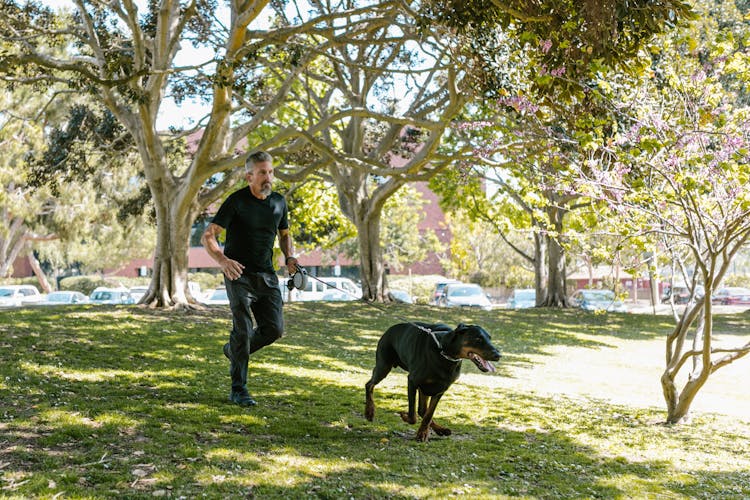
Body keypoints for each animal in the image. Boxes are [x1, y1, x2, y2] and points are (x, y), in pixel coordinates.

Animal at [366, 322, 502, 440]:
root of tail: (390, 329)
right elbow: (412, 415)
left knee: (422, 410)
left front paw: (422, 433)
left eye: (489, 338)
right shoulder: (412, 381)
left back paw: (440, 430)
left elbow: (428, 414)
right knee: (369, 384)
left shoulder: (440, 389)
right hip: (384, 366)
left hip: (426, 387)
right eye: (478, 339)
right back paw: (369, 412)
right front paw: (405, 417)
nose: (498, 355)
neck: (445, 352)